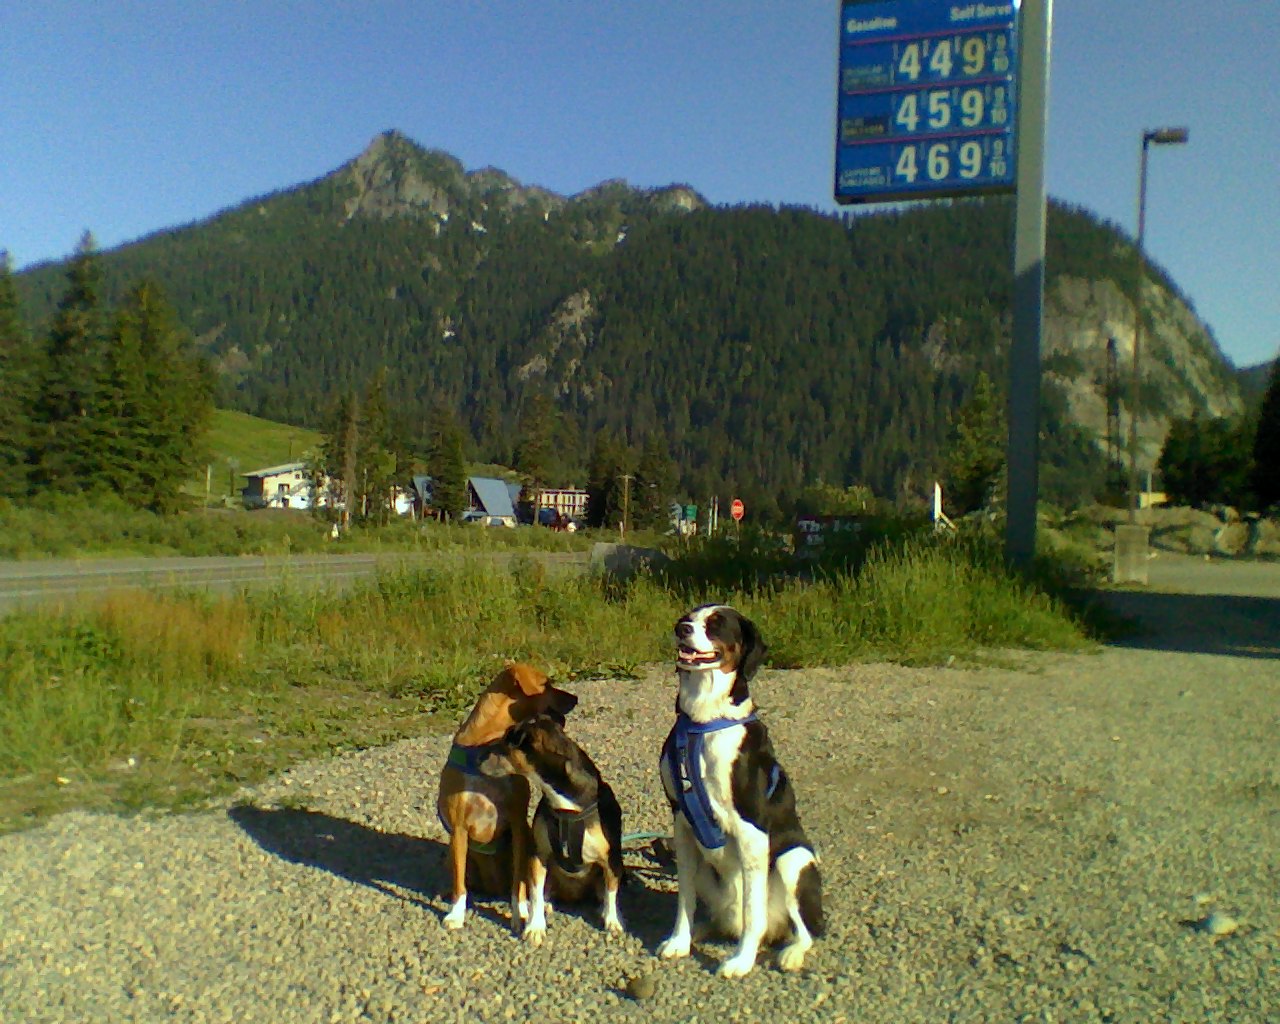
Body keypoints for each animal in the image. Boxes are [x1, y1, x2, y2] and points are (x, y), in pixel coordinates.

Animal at [481, 711, 624, 942]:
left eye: (507, 743)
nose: (477, 756)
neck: (566, 802)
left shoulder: (611, 858)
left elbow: (611, 891)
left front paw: (612, 921)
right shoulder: (539, 854)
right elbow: (536, 894)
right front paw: (535, 927)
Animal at [655, 604, 824, 977]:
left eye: (716, 624)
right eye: (689, 616)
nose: (680, 628)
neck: (703, 723)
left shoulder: (751, 832)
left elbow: (752, 912)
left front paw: (741, 961)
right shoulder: (682, 826)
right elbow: (684, 899)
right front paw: (678, 941)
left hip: (793, 861)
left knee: (804, 929)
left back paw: (790, 952)